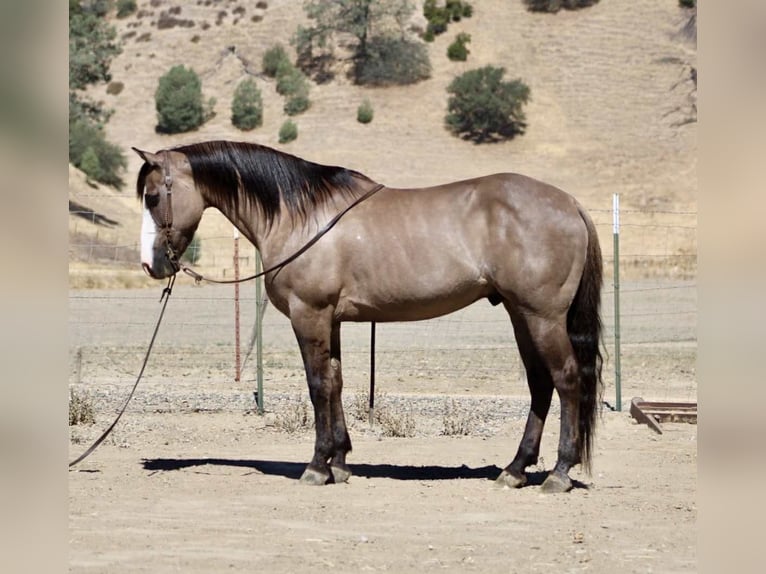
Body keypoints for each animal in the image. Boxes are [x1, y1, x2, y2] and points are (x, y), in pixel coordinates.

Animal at [134, 140, 603, 493]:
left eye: (153, 196)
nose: (151, 264)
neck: (303, 216)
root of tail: (570, 203)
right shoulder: (331, 321)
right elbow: (336, 383)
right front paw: (340, 462)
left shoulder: (310, 316)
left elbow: (318, 386)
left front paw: (317, 466)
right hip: (520, 314)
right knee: (541, 384)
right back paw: (515, 469)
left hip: (542, 317)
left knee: (566, 380)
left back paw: (559, 473)